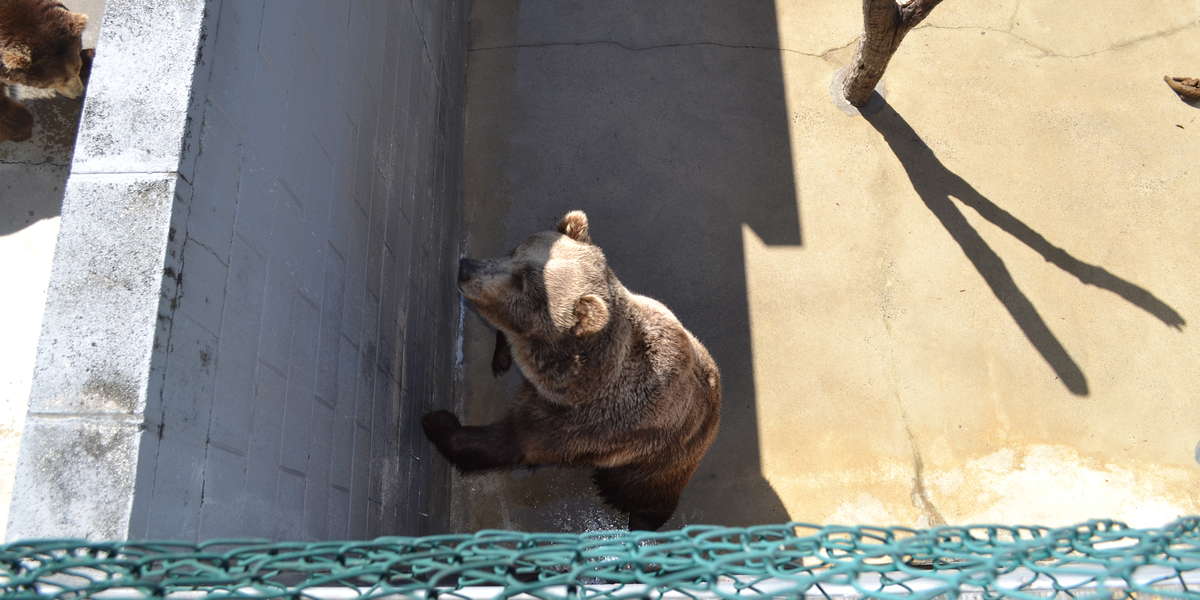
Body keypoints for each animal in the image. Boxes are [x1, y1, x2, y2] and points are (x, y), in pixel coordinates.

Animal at [423, 210, 721, 531]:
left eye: (522, 282)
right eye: (514, 252)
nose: (466, 267)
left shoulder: (581, 421)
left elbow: (510, 441)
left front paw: (437, 421)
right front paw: (500, 356)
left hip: (662, 455)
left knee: (643, 491)